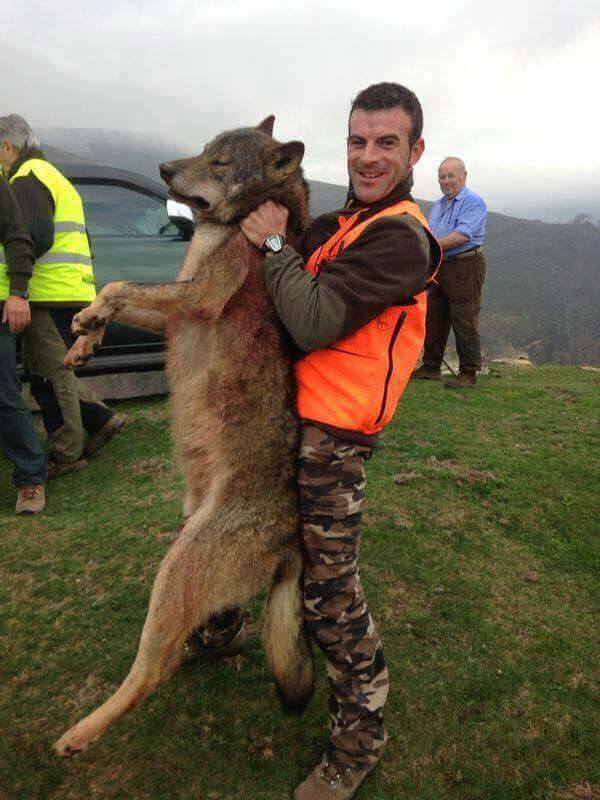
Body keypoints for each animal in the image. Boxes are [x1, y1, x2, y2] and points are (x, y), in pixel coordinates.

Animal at [53, 116, 314, 757]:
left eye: (219, 163)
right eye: (202, 148)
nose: (164, 169)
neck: (235, 228)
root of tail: (292, 540)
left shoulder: (198, 296)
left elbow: (121, 283)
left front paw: (90, 318)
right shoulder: (175, 308)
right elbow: (119, 295)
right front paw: (86, 336)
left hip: (174, 573)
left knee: (152, 671)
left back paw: (81, 733)